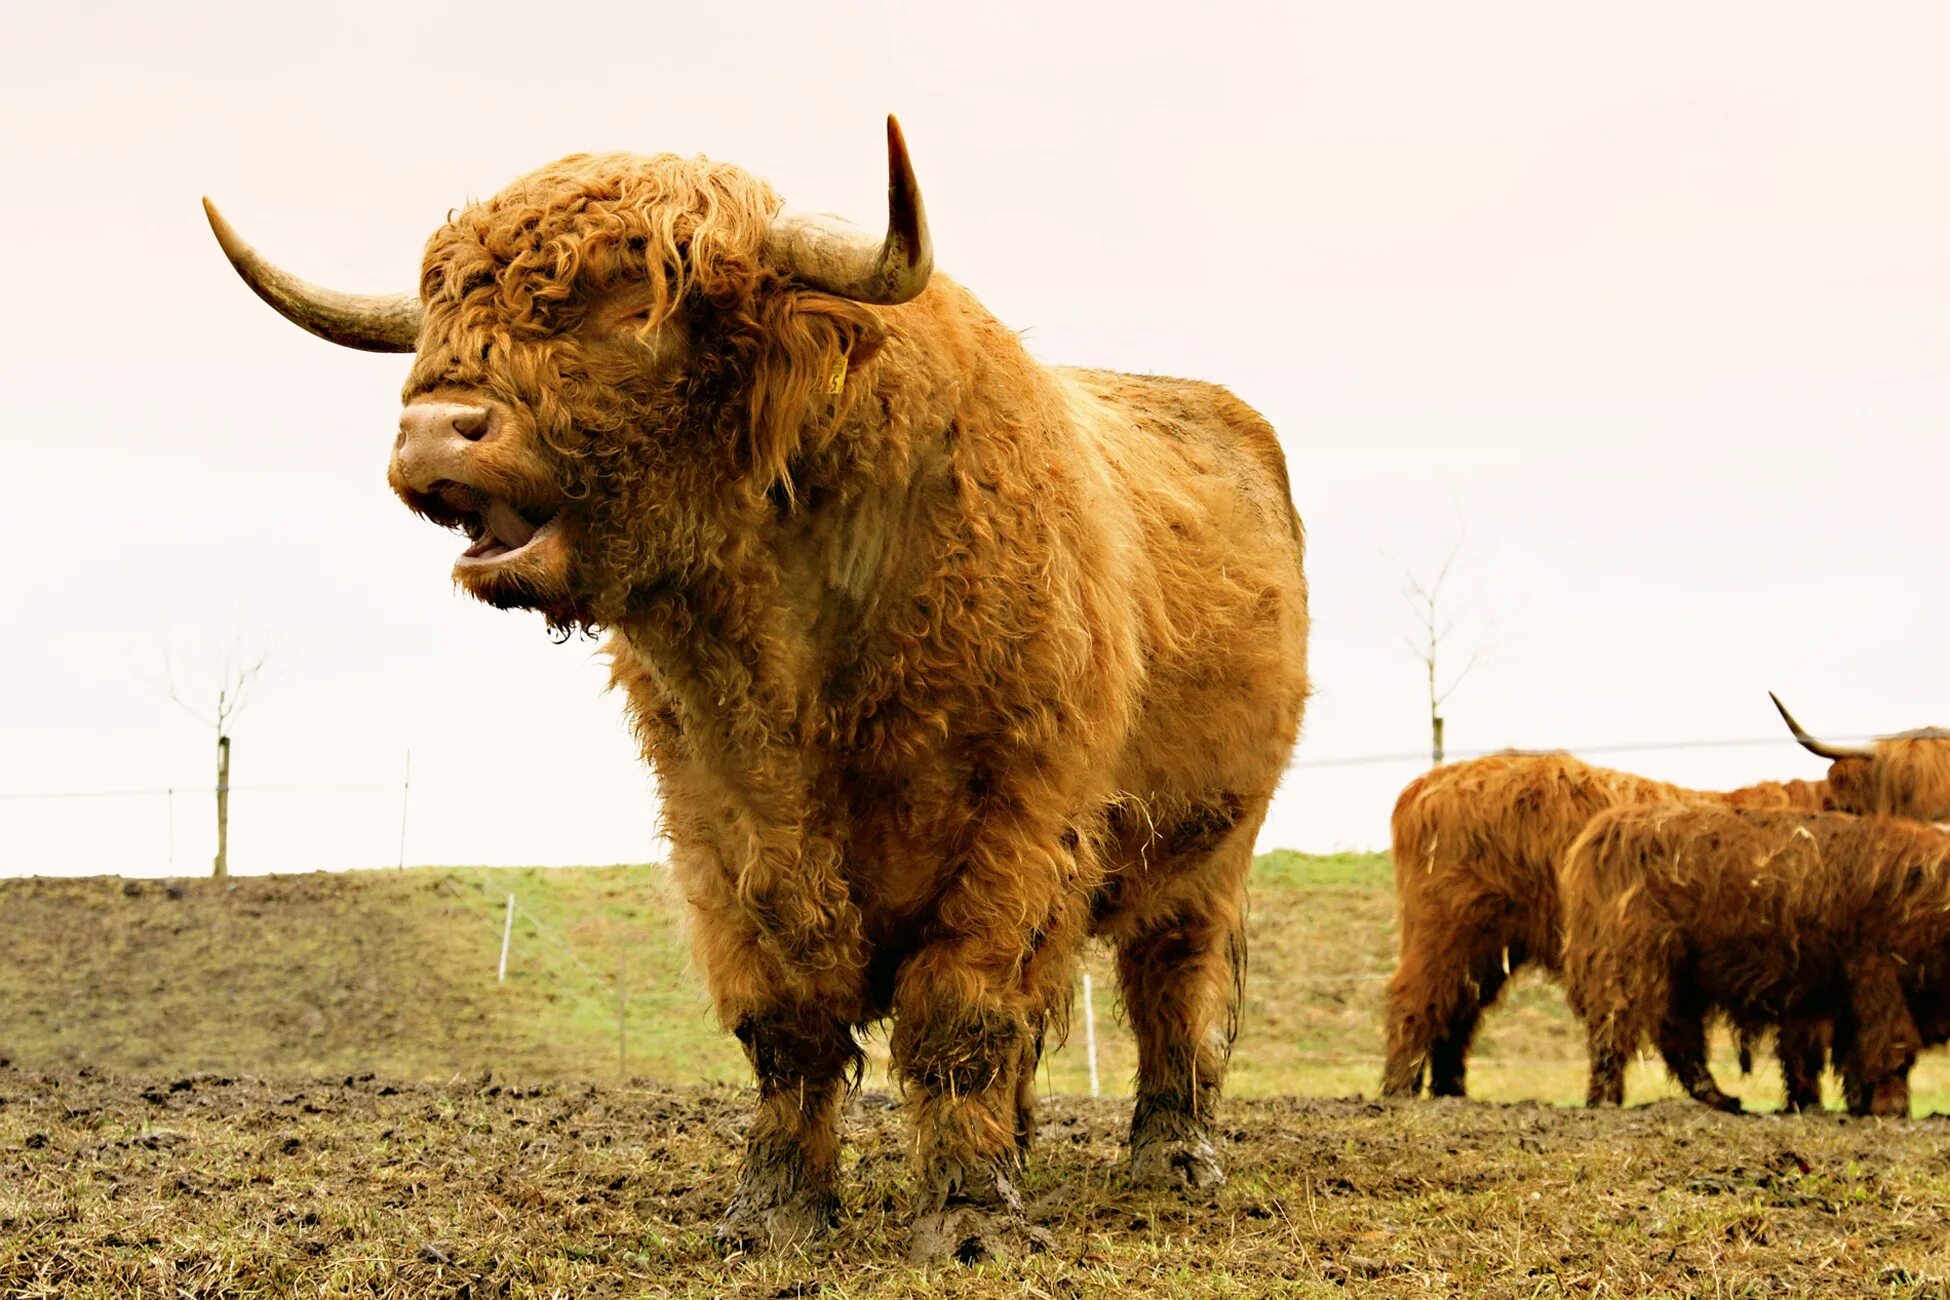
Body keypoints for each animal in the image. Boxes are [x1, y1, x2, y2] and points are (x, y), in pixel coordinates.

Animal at [201, 121, 1310, 1262]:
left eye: (638, 305)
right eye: (446, 307)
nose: (432, 431)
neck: (805, 664)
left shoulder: (1017, 822)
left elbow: (960, 1013)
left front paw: (966, 1216)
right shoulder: (723, 825)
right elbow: (788, 1021)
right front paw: (775, 1210)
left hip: (1209, 847)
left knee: (1171, 983)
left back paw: (1173, 1161)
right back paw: (1028, 1148)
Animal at [1560, 802, 1950, 1122]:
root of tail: (1607, 826)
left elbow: (1851, 1053)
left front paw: (1858, 1105)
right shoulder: (1878, 973)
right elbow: (1891, 1046)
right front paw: (1892, 1109)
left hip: (1679, 971)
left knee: (1678, 1032)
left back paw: (1721, 1100)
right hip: (1626, 957)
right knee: (1614, 1025)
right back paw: (1604, 1102)